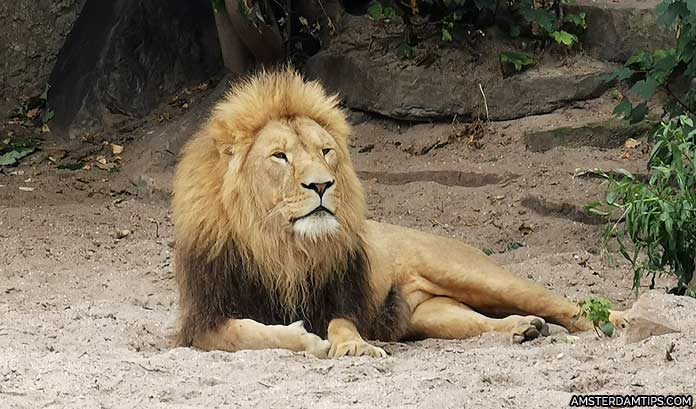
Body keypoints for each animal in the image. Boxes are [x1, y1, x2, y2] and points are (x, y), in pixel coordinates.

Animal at [173, 67, 624, 356]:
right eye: (280, 156)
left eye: (326, 151)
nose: (321, 184)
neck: (281, 249)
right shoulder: (203, 321)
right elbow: (248, 334)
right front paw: (307, 340)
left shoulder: (340, 298)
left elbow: (340, 324)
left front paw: (353, 347)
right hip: (433, 315)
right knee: (479, 323)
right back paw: (523, 328)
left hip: (474, 274)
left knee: (565, 304)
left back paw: (617, 322)